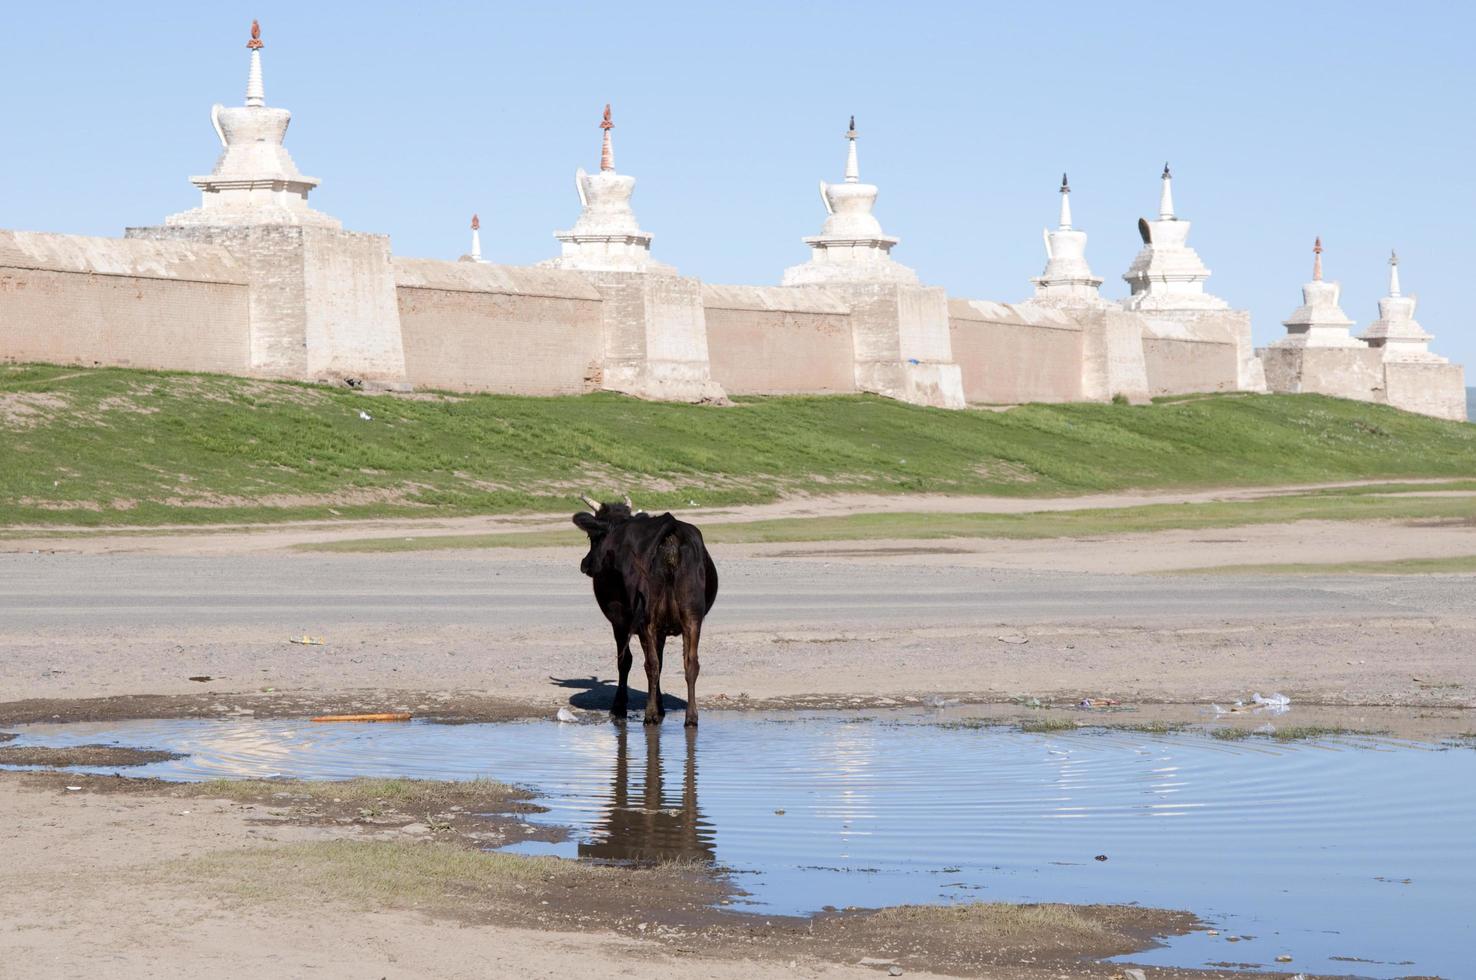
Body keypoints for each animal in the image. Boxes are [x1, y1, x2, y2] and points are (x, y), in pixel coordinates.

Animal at [569, 498, 720, 726]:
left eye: (592, 537)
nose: (585, 564)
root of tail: (671, 532)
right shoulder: (662, 628)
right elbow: (662, 660)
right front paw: (661, 707)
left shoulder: (620, 621)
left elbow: (625, 661)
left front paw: (620, 708)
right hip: (691, 616)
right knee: (690, 663)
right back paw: (691, 717)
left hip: (646, 619)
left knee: (650, 665)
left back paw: (650, 715)